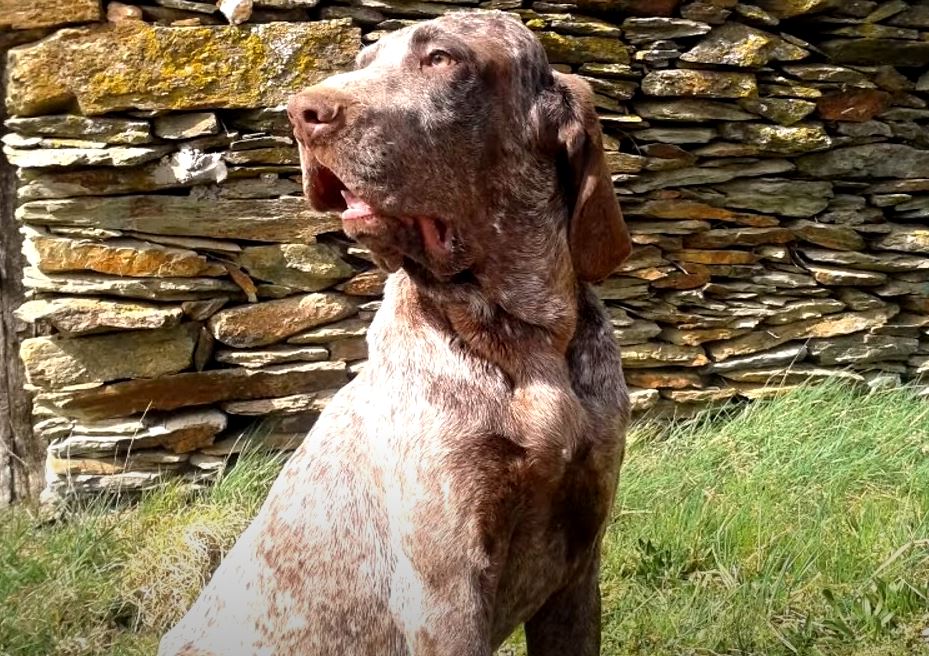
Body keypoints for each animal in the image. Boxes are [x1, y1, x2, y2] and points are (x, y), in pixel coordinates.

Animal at [163, 11, 636, 656]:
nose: (300, 112)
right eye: (363, 65)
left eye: (440, 58)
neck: (528, 338)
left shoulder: (579, 570)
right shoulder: (448, 592)